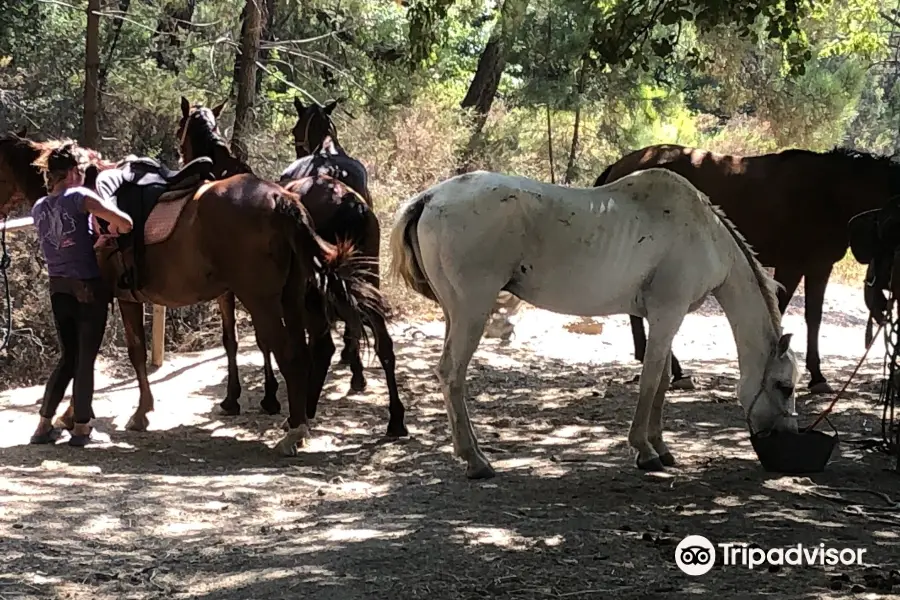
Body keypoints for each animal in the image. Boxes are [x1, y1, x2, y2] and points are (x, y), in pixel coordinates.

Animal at [0, 130, 388, 454]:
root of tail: (283, 200)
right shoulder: (128, 298)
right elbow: (123, 354)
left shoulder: (112, 298)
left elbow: (112, 354)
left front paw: (109, 415)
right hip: (290, 299)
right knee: (307, 353)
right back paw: (300, 421)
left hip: (262, 301)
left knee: (290, 355)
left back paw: (293, 432)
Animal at [390, 168, 800, 478]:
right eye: (784, 386)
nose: (787, 436)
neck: (705, 233)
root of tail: (430, 198)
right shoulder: (668, 313)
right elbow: (650, 380)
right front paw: (645, 452)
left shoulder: (664, 318)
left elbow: (662, 379)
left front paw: (661, 447)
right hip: (472, 312)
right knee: (452, 374)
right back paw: (476, 462)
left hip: (455, 314)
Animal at [592, 142, 900, 392]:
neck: (826, 193)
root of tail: (621, 165)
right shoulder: (790, 267)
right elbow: (780, 308)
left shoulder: (819, 267)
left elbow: (814, 317)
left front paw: (817, 376)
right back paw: (672, 369)